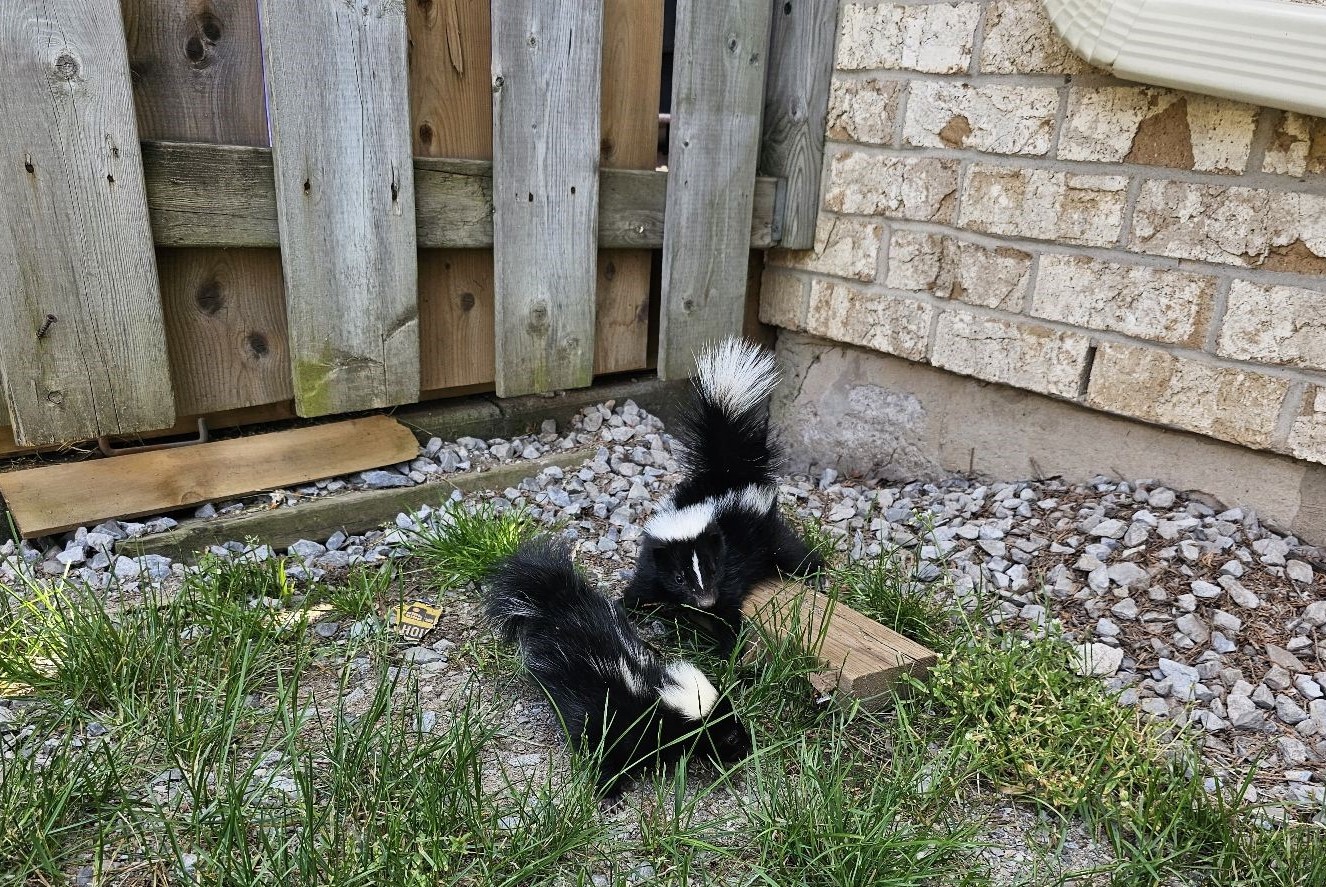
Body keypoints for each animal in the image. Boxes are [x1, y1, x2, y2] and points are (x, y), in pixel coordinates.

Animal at [485, 535, 758, 800]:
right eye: (730, 736)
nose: (747, 747)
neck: (654, 693)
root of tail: (560, 603)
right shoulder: (609, 717)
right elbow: (601, 752)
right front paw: (609, 793)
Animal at [623, 335, 827, 654]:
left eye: (712, 568)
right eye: (679, 577)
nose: (706, 601)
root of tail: (728, 471)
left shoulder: (731, 563)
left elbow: (729, 609)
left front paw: (728, 651)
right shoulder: (653, 563)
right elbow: (640, 589)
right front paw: (622, 607)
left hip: (765, 528)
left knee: (791, 551)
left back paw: (817, 572)